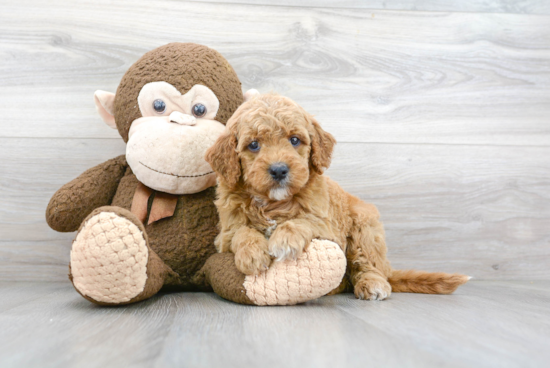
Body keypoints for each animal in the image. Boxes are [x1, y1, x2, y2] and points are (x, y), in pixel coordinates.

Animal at [207, 93, 470, 300]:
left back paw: (373, 283)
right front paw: (251, 254)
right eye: (253, 145)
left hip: (364, 226)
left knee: (367, 264)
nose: (279, 170)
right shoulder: (225, 234)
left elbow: (303, 221)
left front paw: (285, 238)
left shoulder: (327, 227)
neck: (274, 203)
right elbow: (242, 231)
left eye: (295, 140)